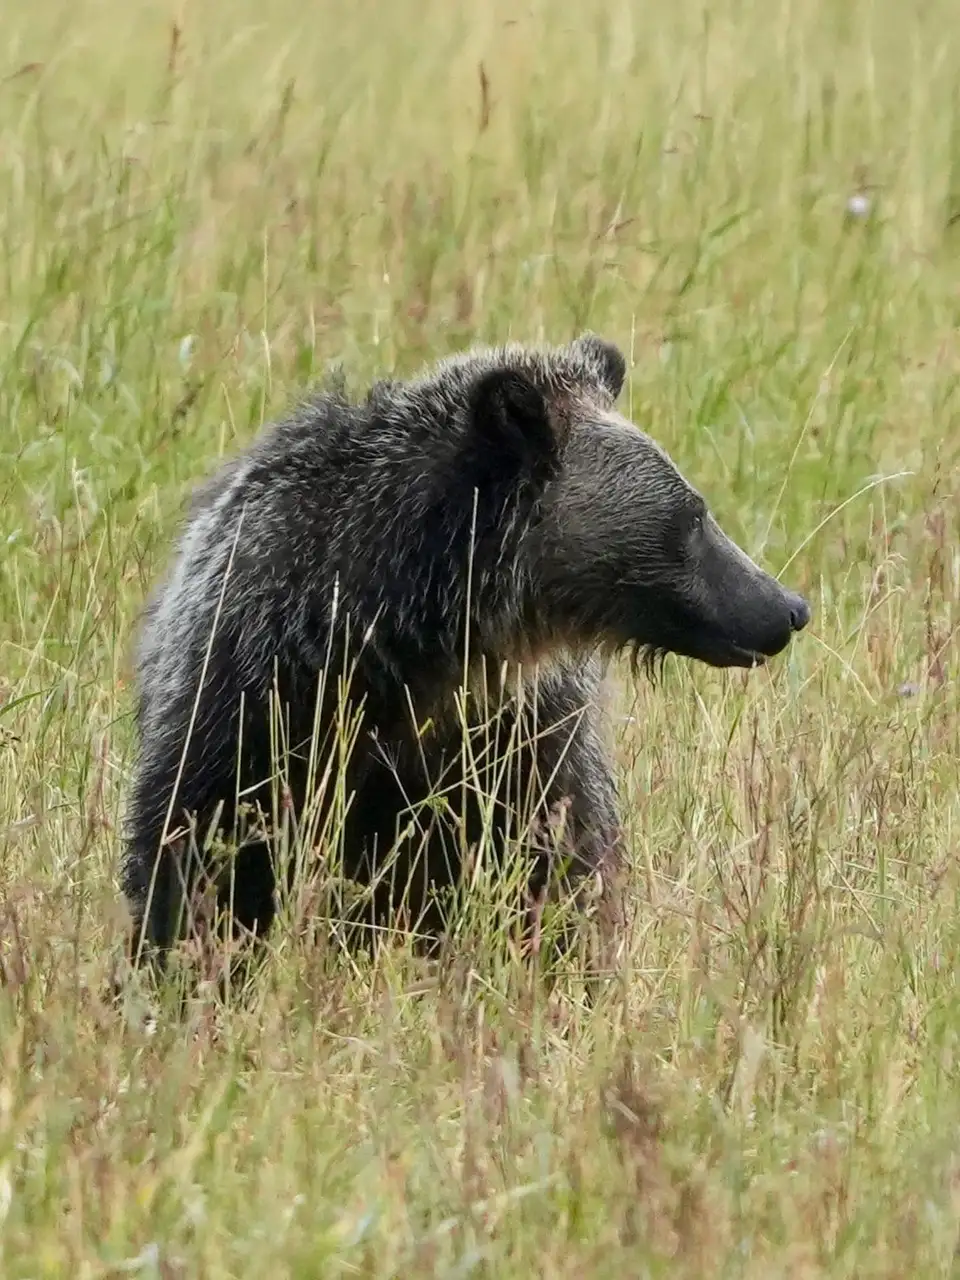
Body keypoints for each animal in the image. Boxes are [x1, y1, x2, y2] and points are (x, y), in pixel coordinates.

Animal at [120, 335, 814, 972]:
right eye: (692, 516)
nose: (787, 607)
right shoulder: (257, 693)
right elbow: (208, 855)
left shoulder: (519, 734)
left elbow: (558, 866)